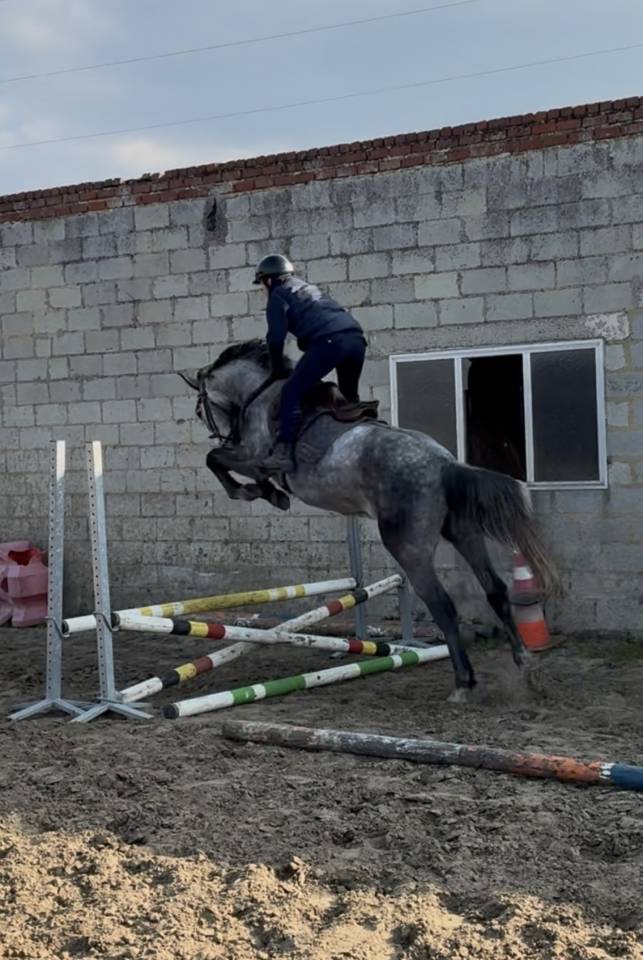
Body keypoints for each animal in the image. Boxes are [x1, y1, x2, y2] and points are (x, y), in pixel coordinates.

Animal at [179, 339, 558, 701]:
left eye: (201, 409)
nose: (224, 432)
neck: (258, 397)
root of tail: (443, 464)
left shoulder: (253, 456)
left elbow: (216, 459)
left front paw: (259, 492)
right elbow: (220, 460)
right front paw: (268, 493)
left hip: (408, 546)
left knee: (443, 605)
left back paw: (464, 682)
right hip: (464, 533)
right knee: (495, 590)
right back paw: (526, 667)